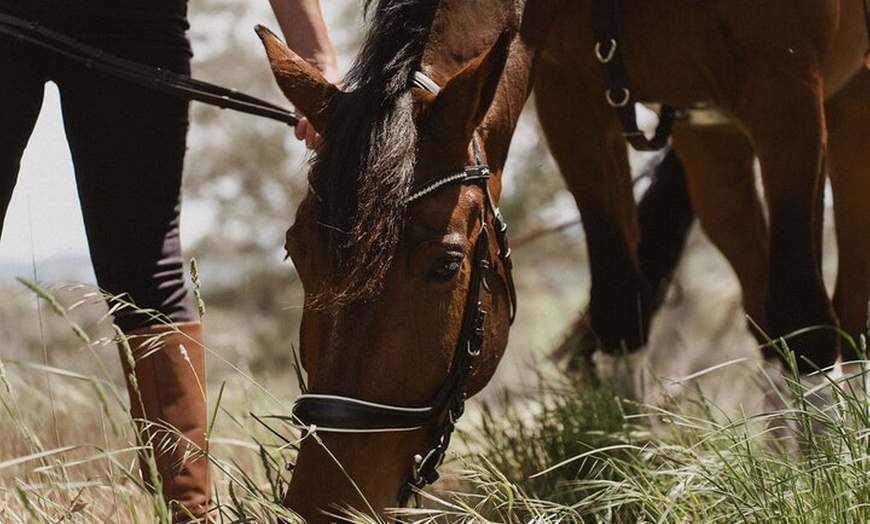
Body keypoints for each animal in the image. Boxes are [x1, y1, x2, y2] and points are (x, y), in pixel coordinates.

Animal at [256, 0, 870, 520]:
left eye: (445, 265)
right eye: (296, 251)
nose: (324, 502)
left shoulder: (787, 94)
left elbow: (806, 323)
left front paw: (821, 487)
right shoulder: (573, 102)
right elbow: (621, 312)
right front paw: (632, 480)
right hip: (711, 146)